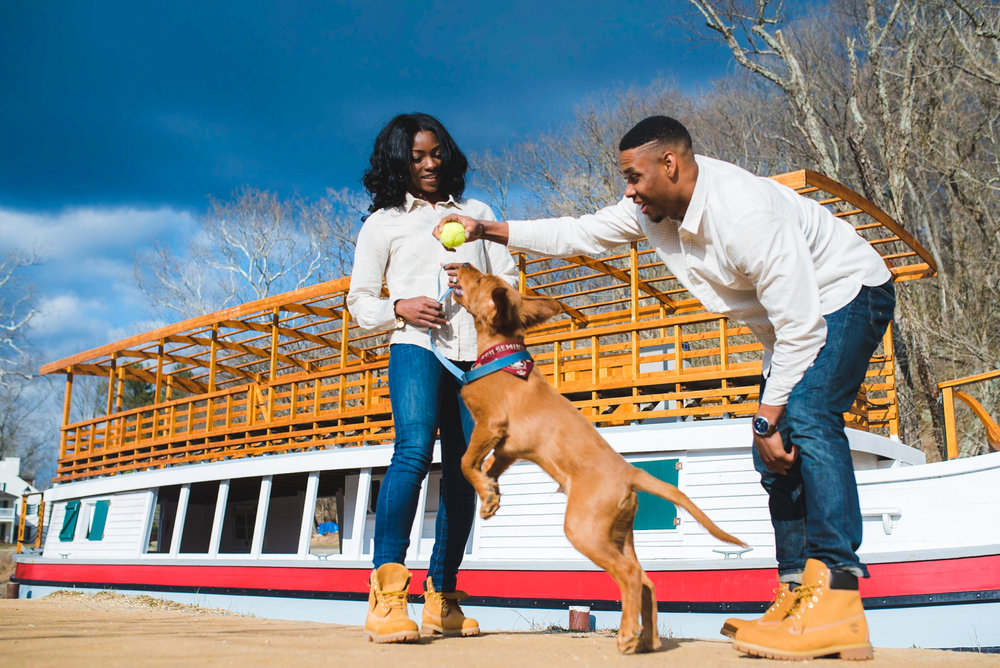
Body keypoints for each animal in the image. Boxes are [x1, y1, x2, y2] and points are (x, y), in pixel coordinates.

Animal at [452, 264, 744, 656]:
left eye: (480, 279)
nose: (463, 266)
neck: (501, 352)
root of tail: (631, 470)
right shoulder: (509, 447)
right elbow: (489, 468)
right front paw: (490, 498)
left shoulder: (489, 425)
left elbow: (466, 462)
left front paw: (485, 491)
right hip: (619, 534)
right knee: (647, 580)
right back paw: (647, 641)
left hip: (584, 530)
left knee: (631, 576)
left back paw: (627, 637)